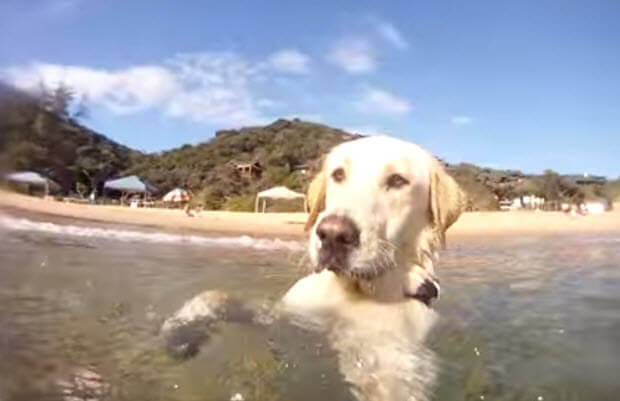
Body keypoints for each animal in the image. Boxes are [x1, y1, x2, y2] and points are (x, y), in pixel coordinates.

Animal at [162, 135, 462, 400]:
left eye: (398, 180)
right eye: (338, 174)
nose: (333, 234)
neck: (350, 292)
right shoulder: (280, 314)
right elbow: (216, 295)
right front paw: (180, 331)